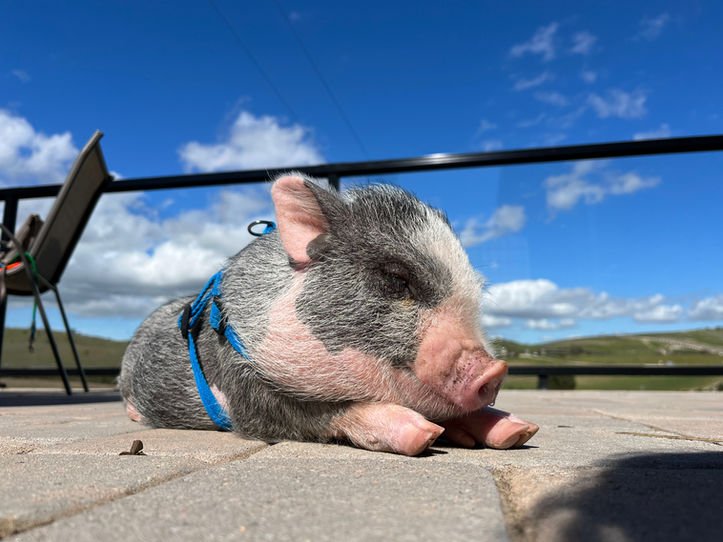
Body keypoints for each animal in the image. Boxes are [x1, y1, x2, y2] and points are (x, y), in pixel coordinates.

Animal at [118, 175, 538, 456]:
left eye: (478, 288)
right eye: (396, 279)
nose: (495, 369)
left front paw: (520, 432)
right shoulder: (240, 379)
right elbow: (312, 411)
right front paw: (423, 435)